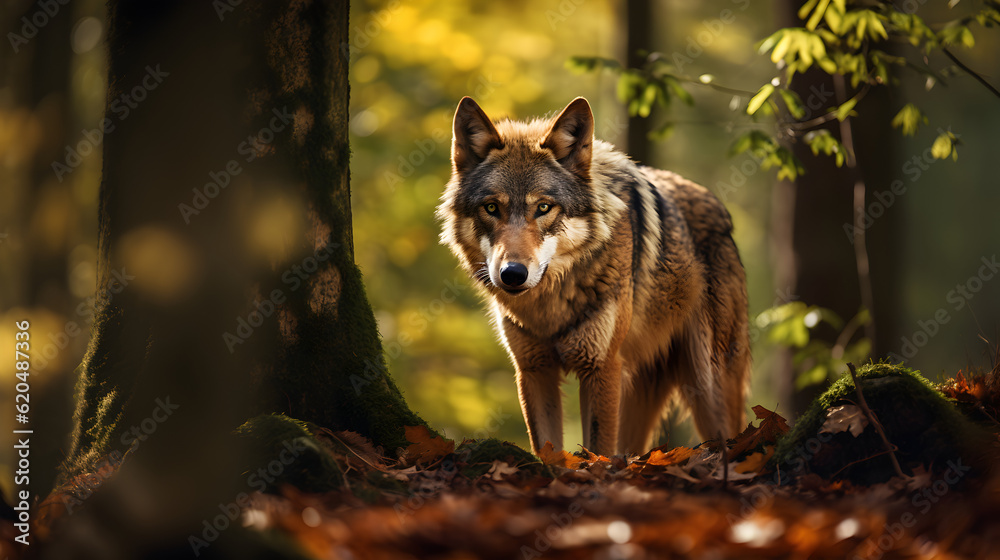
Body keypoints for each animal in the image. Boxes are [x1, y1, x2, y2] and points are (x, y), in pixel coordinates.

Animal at [437, 97, 750, 456]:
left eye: (544, 208)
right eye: (491, 208)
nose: (512, 274)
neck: (549, 308)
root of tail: (720, 208)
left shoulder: (601, 368)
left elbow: (598, 452)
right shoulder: (533, 370)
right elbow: (549, 451)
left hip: (709, 384)